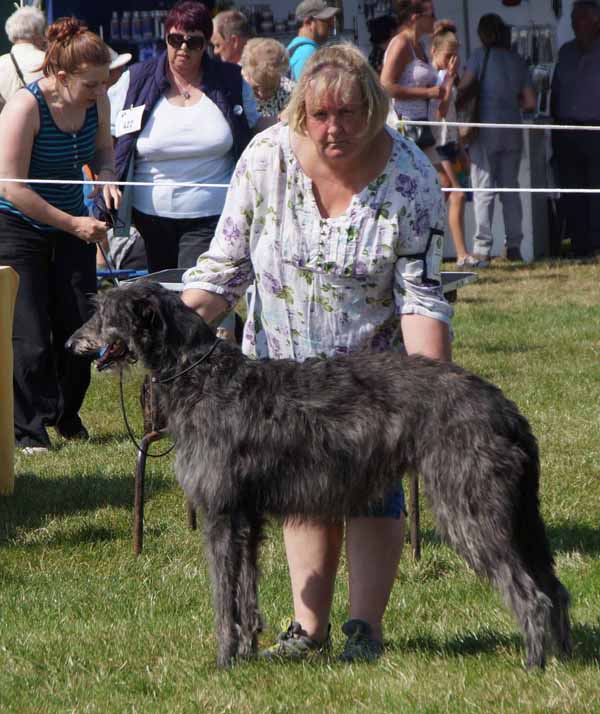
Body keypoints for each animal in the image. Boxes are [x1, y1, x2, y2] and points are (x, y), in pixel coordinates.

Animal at [68, 280, 568, 668]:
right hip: (518, 514)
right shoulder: (247, 518)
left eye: (105, 312)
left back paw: (533, 663)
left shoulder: (220, 515)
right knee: (556, 589)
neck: (203, 377)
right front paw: (247, 652)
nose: (71, 343)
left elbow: (223, 596)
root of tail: (503, 407)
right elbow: (246, 592)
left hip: (469, 507)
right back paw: (563, 659)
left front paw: (223, 660)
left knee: (531, 593)